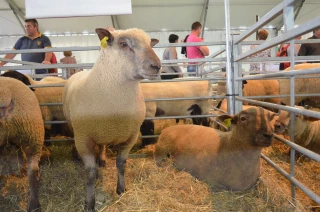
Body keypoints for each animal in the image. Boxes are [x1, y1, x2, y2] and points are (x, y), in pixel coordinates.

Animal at [62, 27, 161, 210]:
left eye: (150, 44)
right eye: (123, 44)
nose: (156, 66)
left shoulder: (131, 135)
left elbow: (121, 163)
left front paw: (121, 189)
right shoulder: (83, 137)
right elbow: (90, 172)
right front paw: (89, 203)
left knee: (102, 146)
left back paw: (101, 159)